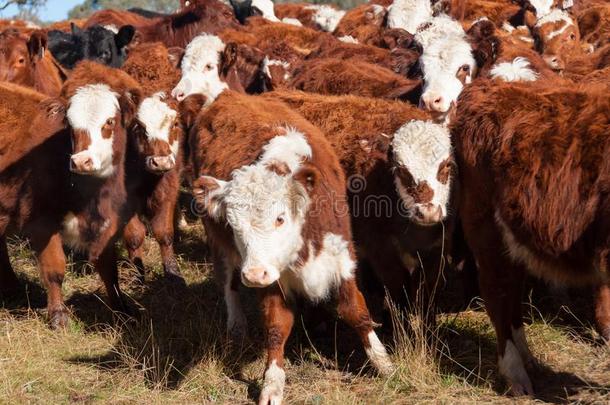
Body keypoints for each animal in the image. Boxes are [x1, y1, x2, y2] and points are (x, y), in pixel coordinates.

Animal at [188, 90, 392, 404]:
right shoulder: (272, 279)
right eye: (234, 223)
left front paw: (382, 361)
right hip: (222, 248)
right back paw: (236, 323)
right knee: (228, 283)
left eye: (280, 218)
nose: (254, 275)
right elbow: (276, 326)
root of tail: (227, 94)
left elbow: (356, 312)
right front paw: (273, 382)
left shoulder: (341, 258)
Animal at [448, 79, 604, 394]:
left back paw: (526, 354)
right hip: (485, 226)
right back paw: (515, 372)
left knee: (513, 286)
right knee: (495, 288)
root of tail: (486, 86)